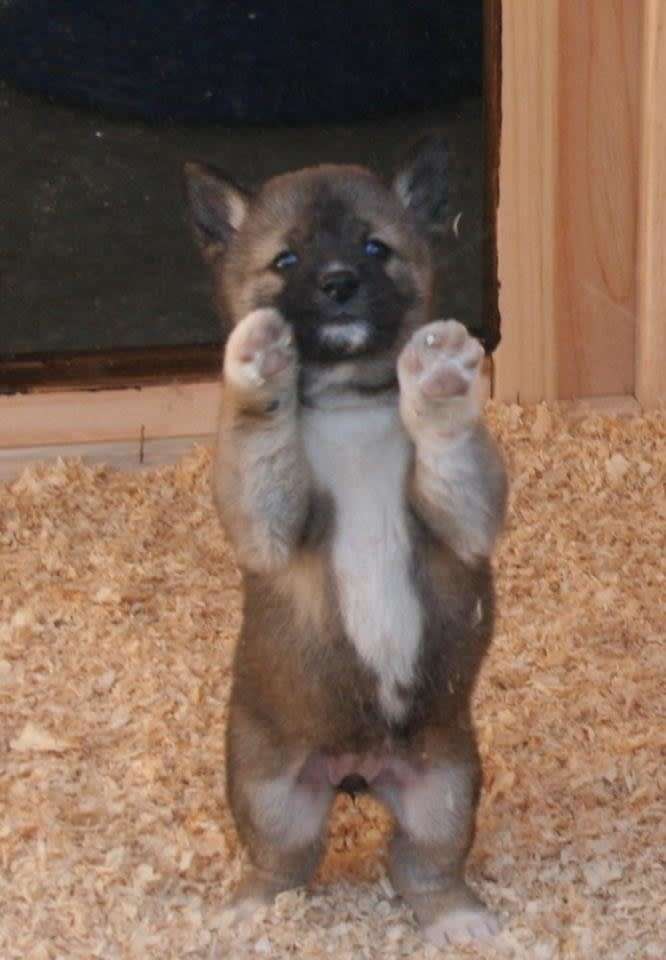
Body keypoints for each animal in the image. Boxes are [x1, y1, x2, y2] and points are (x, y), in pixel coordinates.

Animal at [184, 136, 507, 947]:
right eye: (287, 259)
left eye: (374, 248)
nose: (338, 284)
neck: (349, 407)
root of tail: (359, 771)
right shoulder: (269, 527)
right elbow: (259, 427)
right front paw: (259, 367)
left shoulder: (465, 524)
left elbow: (449, 445)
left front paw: (440, 381)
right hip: (271, 792)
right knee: (283, 863)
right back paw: (252, 912)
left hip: (443, 790)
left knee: (422, 867)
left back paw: (457, 919)